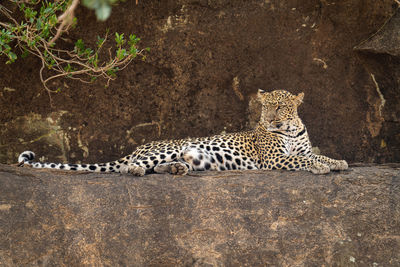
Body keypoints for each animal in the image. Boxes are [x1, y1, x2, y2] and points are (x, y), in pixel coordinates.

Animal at [17, 89, 346, 176]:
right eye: (265, 107)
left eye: (281, 107)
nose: (270, 120)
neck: (290, 130)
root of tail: (138, 147)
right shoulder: (273, 160)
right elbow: (301, 160)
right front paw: (320, 167)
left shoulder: (299, 145)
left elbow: (317, 155)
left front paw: (337, 162)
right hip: (169, 148)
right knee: (128, 168)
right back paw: (136, 171)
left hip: (188, 156)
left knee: (162, 167)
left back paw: (177, 170)